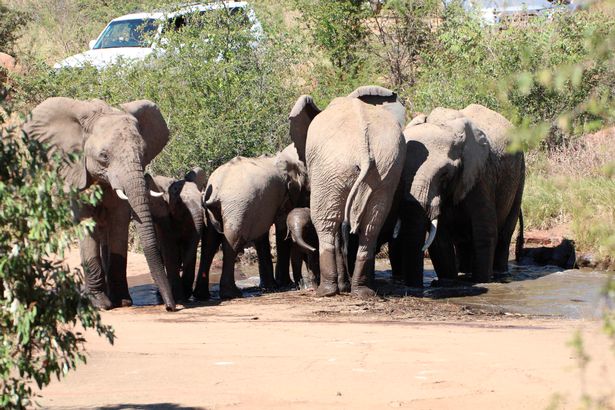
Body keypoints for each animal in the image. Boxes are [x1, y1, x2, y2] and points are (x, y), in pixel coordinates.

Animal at [24, 97, 176, 310]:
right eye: (104, 156)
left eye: (144, 152)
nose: (170, 307)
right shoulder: (76, 172)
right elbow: (86, 222)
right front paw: (100, 304)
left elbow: (119, 221)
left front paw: (122, 301)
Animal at [290, 85, 406, 298]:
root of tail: (363, 148)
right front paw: (346, 287)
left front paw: (342, 288)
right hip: (387, 168)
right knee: (372, 226)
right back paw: (362, 291)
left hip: (330, 167)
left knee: (326, 221)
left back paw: (325, 291)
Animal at [402, 104, 528, 284]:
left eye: (444, 174)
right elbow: (440, 240)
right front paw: (447, 283)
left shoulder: (481, 177)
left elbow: (485, 232)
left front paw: (481, 281)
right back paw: (464, 272)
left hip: (520, 174)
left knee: (504, 234)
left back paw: (500, 274)